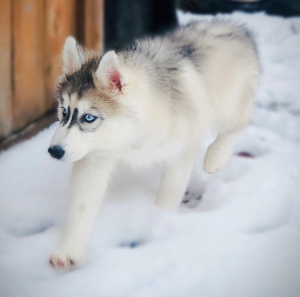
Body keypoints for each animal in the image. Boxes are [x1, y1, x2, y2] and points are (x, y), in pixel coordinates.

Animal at [48, 18, 258, 268]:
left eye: (89, 118)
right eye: (64, 111)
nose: (53, 151)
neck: (131, 136)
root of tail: (235, 25)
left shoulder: (182, 150)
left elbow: (170, 191)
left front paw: (161, 221)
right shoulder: (95, 157)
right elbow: (81, 206)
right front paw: (68, 250)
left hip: (227, 105)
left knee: (238, 122)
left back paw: (215, 157)